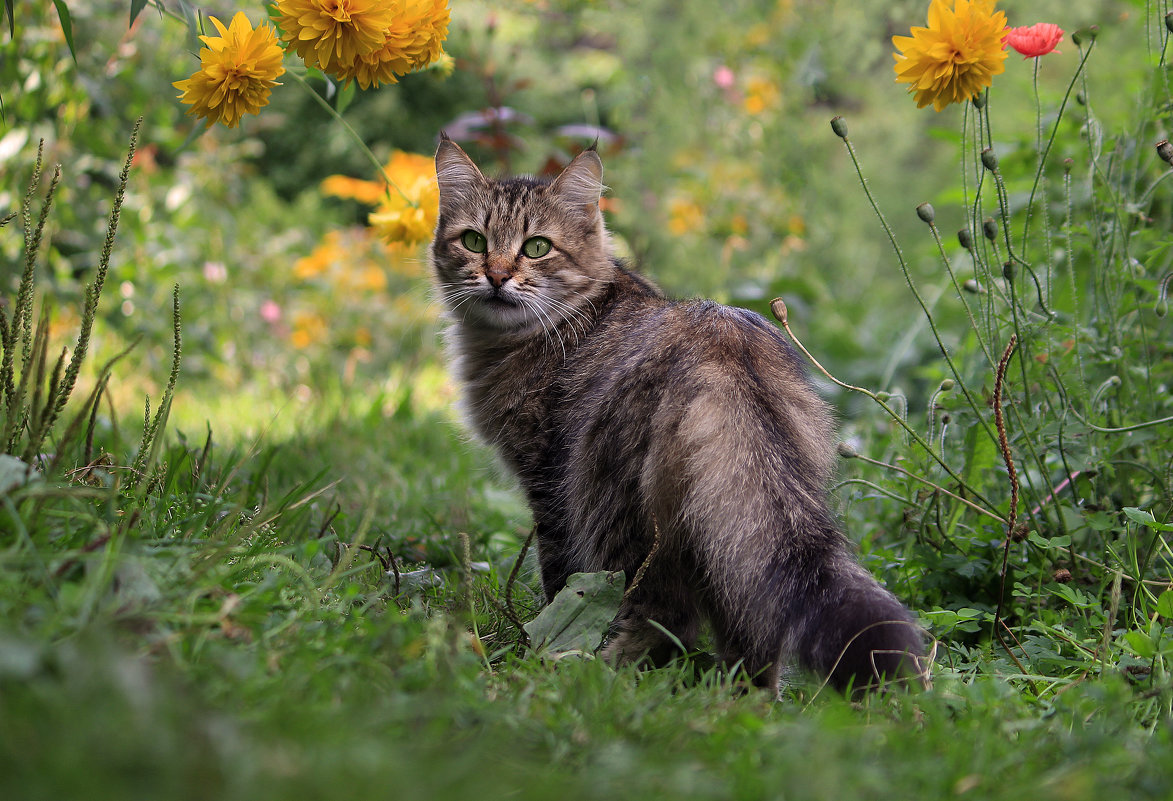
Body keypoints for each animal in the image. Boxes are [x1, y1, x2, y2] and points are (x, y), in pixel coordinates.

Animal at [431, 134, 924, 694]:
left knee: (662, 620)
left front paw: (547, 638)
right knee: (750, 626)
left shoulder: (546, 481)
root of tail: (725, 346)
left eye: (536, 247)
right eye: (474, 241)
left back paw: (590, 672)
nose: (495, 276)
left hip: (613, 508)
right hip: (740, 528)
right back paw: (742, 700)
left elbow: (558, 576)